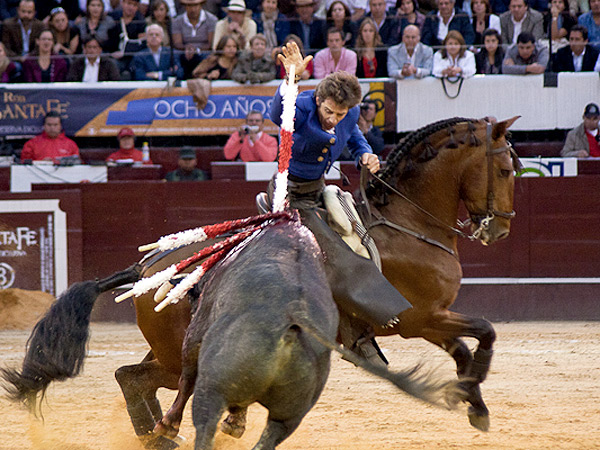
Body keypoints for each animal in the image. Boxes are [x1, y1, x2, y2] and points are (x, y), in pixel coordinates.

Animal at [0, 115, 516, 446]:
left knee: (132, 377)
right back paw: (164, 434)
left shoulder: (430, 320)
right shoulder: (420, 318)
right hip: (181, 352)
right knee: (143, 380)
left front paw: (474, 406)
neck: (408, 223)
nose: (501, 229)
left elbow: (465, 349)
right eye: (508, 169)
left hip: (169, 350)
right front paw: (475, 404)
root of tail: (148, 268)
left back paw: (157, 435)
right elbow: (485, 333)